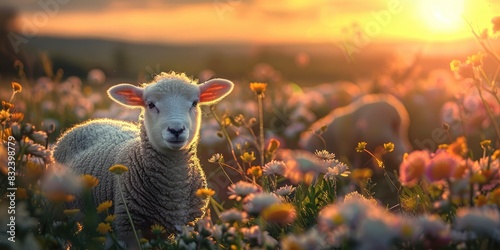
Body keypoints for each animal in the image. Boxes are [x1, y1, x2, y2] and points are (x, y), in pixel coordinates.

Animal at [52, 72, 234, 246]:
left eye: (195, 103)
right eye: (151, 105)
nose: (176, 130)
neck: (174, 190)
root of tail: (94, 121)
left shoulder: (187, 225)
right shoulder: (128, 225)